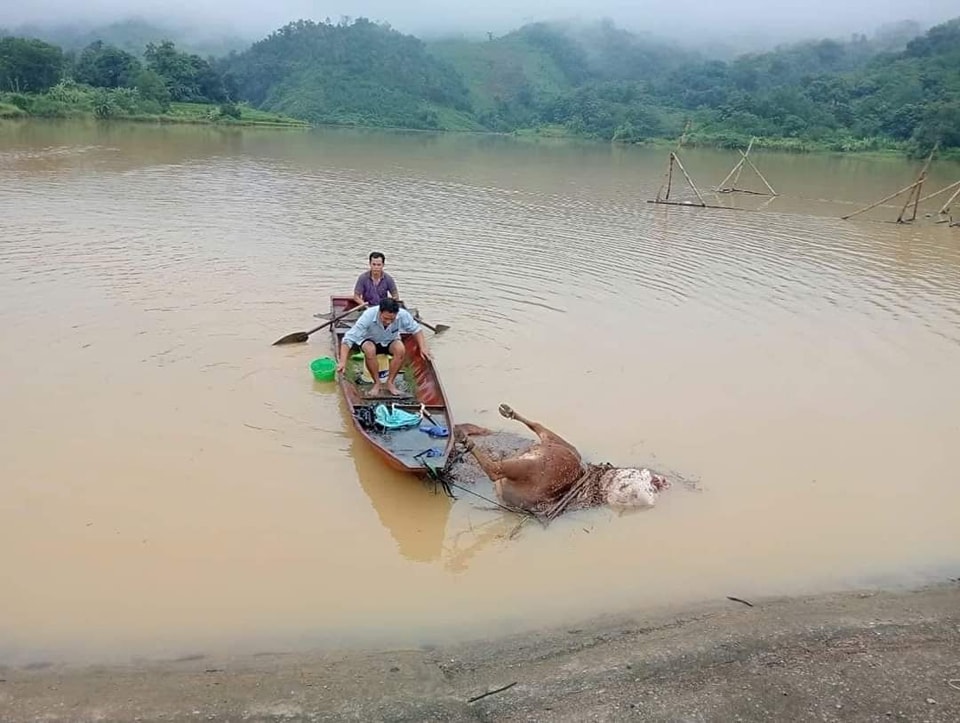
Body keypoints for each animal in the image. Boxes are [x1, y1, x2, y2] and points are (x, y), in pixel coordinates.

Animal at [456, 404, 668, 516]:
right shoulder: (561, 445)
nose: (663, 481)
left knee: (494, 469)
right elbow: (537, 425)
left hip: (527, 469)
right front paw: (510, 412)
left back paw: (464, 438)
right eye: (652, 482)